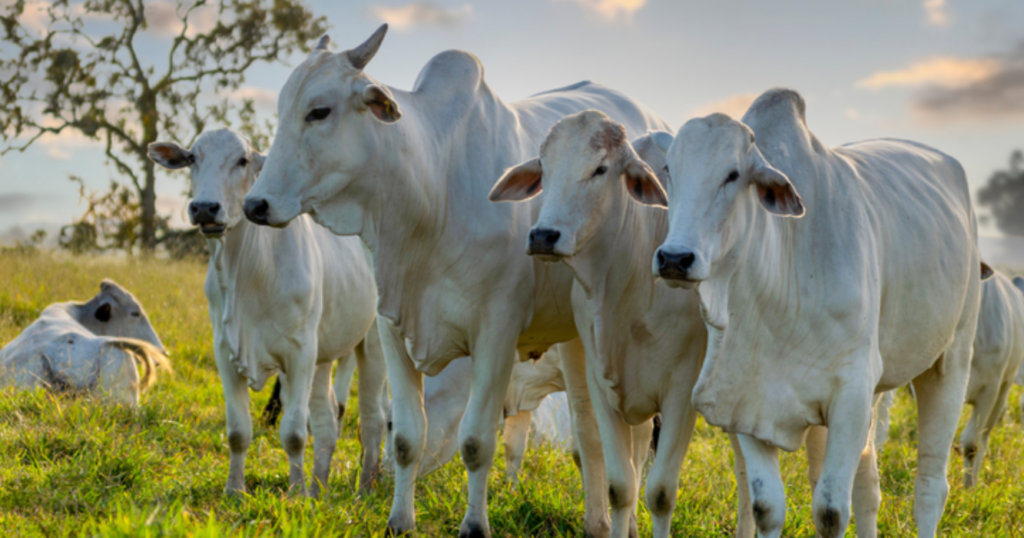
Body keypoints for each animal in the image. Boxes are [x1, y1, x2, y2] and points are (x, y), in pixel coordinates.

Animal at [150, 130, 387, 500]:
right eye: (191, 158)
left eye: (242, 160)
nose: (204, 208)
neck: (247, 273)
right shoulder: (226, 351)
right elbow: (238, 431)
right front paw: (235, 489)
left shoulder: (299, 353)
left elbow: (294, 432)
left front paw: (297, 494)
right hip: (323, 355)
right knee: (327, 419)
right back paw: (319, 487)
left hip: (372, 342)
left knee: (372, 419)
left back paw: (362, 489)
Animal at [242, 24, 667, 532]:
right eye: (283, 110)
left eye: (319, 111)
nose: (255, 205)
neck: (433, 186)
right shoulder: (391, 328)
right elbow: (409, 438)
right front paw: (399, 522)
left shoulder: (497, 334)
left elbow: (476, 442)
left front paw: (474, 526)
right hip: (576, 338)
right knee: (592, 433)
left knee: (626, 443)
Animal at [487, 110, 704, 536]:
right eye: (544, 167)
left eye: (601, 169)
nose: (543, 235)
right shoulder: (600, 385)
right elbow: (621, 486)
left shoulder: (681, 392)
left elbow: (661, 492)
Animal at [655, 89, 983, 536]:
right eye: (669, 169)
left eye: (733, 174)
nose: (674, 258)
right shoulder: (744, 400)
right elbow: (766, 507)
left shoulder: (851, 395)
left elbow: (829, 512)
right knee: (868, 483)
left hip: (950, 362)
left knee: (931, 487)